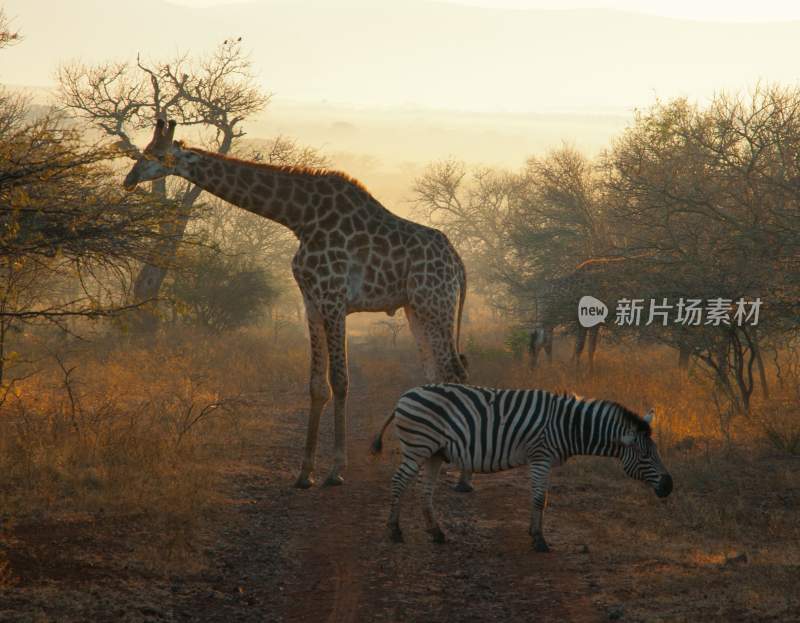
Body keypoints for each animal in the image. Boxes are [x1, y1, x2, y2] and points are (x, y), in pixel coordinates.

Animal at [120, 119, 468, 490]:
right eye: (144, 150)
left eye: (156, 154)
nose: (129, 179)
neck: (300, 218)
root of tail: (459, 264)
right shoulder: (311, 301)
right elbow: (316, 386)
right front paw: (305, 473)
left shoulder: (333, 298)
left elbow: (340, 381)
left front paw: (336, 470)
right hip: (416, 308)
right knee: (436, 373)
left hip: (436, 303)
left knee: (454, 371)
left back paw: (462, 476)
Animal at [372, 386, 672, 552]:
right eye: (646, 455)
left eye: (657, 452)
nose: (669, 486)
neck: (569, 426)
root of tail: (406, 395)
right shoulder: (540, 456)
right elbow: (540, 498)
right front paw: (539, 540)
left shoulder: (542, 460)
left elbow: (542, 498)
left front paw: (532, 532)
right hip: (418, 446)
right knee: (399, 482)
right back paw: (394, 531)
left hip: (434, 452)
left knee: (425, 491)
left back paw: (436, 533)